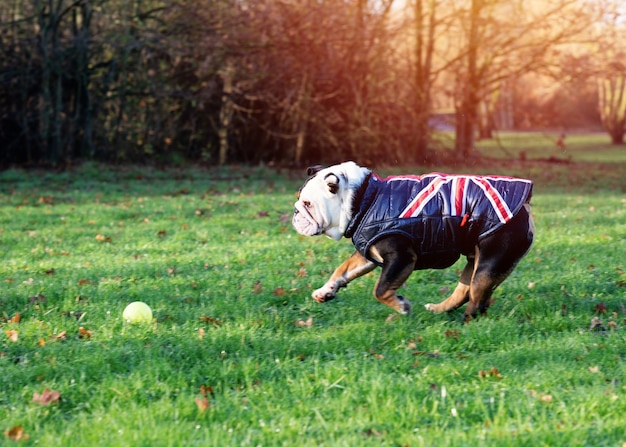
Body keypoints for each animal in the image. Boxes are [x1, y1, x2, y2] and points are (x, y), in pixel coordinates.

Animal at [292, 161, 532, 318]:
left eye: (308, 203)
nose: (295, 212)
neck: (364, 198)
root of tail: (525, 206)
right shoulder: (367, 252)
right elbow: (342, 270)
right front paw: (325, 291)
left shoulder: (401, 257)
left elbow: (380, 289)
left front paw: (401, 306)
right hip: (476, 262)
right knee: (463, 292)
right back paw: (438, 309)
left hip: (489, 264)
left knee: (476, 300)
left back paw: (466, 324)